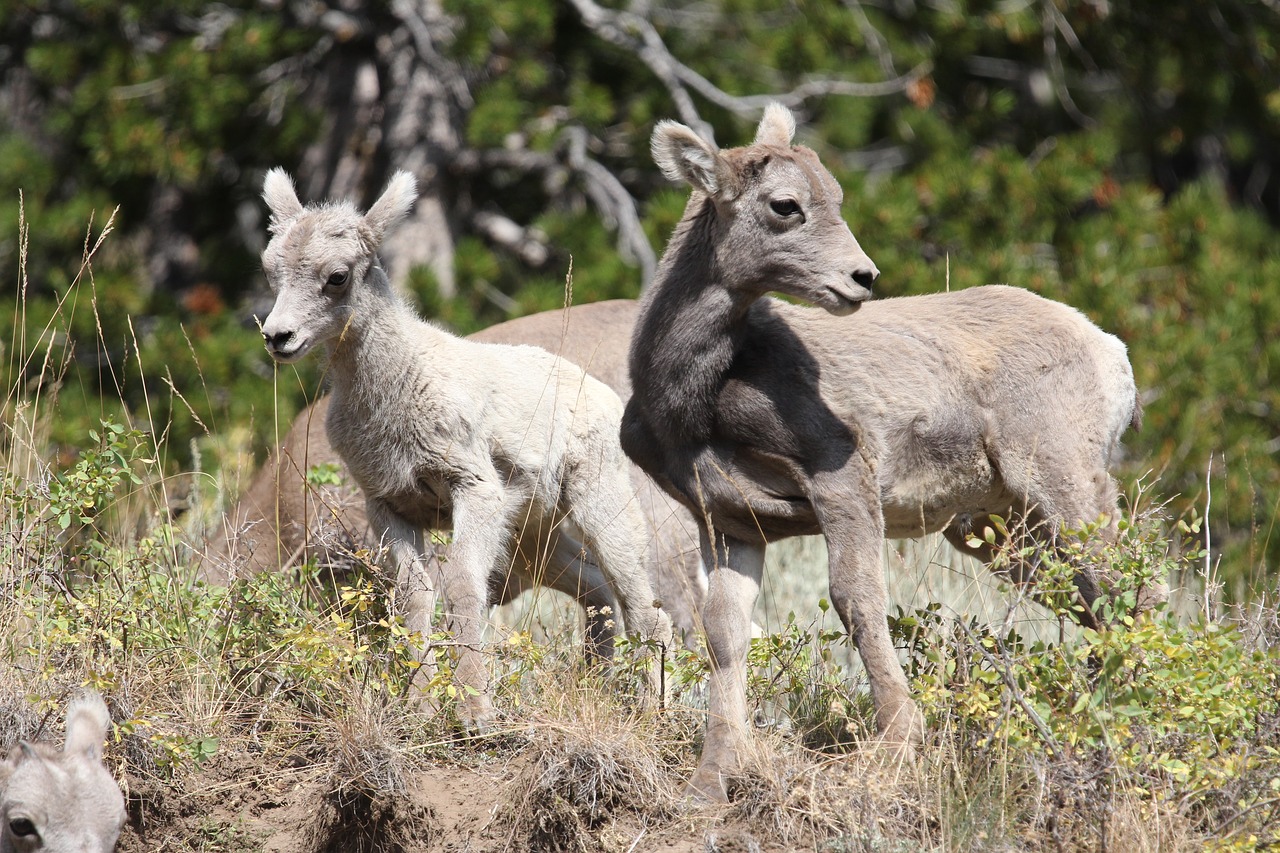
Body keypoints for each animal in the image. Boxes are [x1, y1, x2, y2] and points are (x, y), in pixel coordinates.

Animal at [261, 167, 680, 722]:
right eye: (271, 269)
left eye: (338, 276)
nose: (277, 337)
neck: (398, 385)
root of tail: (603, 395)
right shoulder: (389, 506)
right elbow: (415, 597)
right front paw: (417, 705)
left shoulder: (473, 490)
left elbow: (463, 586)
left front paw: (475, 711)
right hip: (533, 536)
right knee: (596, 593)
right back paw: (596, 683)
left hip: (600, 507)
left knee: (645, 611)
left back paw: (658, 713)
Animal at [616, 103, 1152, 799]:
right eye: (785, 205)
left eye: (836, 197)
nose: (861, 278)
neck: (693, 398)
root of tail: (1112, 353)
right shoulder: (733, 523)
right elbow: (725, 632)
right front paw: (711, 782)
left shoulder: (841, 476)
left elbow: (857, 599)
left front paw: (894, 746)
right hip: (1001, 529)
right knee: (1091, 602)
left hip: (1064, 487)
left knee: (1133, 588)